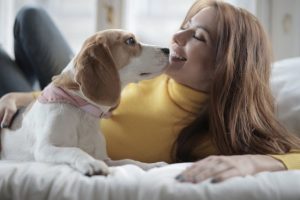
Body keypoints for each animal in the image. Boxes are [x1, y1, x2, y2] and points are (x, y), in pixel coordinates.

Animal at [0, 28, 169, 176]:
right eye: (130, 41)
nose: (167, 49)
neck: (82, 110)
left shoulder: (106, 159)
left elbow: (130, 161)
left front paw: (152, 165)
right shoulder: (45, 148)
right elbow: (75, 150)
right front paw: (91, 163)